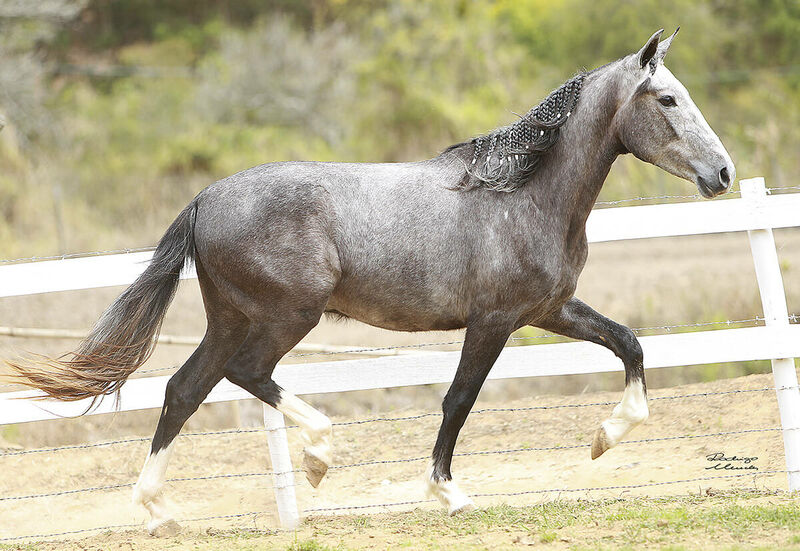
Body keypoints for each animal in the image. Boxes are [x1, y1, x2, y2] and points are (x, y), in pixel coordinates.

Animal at [9, 29, 736, 536]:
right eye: (668, 99)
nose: (725, 173)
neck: (521, 192)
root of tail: (205, 199)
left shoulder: (549, 309)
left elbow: (630, 344)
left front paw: (604, 438)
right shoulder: (495, 319)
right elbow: (459, 399)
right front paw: (449, 493)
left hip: (232, 317)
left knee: (184, 390)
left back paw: (160, 510)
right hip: (286, 314)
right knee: (246, 373)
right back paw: (317, 454)